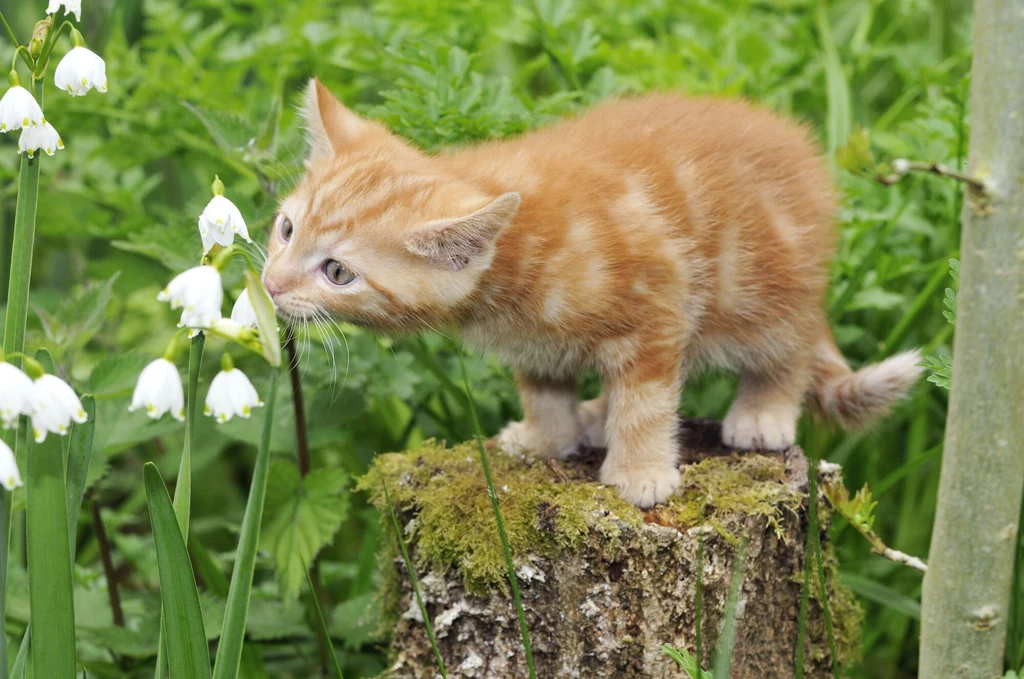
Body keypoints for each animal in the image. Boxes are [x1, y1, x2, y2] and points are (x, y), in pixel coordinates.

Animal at [262, 79, 921, 507]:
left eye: (338, 272)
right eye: (286, 228)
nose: (270, 284)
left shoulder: (658, 305)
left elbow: (646, 402)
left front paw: (642, 472)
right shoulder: (534, 342)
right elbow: (544, 388)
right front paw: (547, 438)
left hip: (766, 289)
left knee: (785, 352)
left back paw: (762, 414)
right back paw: (594, 417)